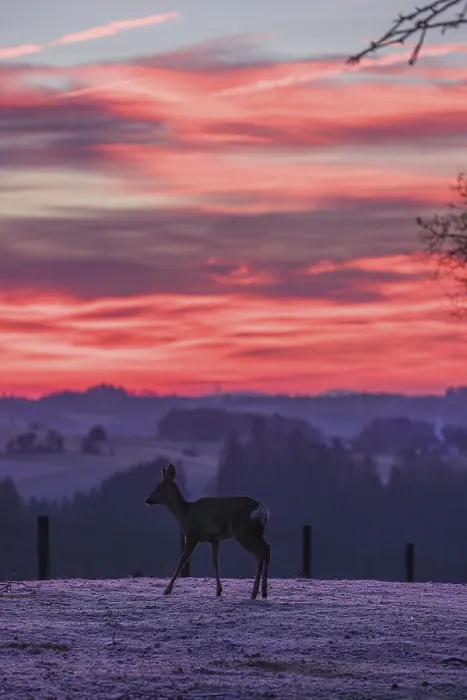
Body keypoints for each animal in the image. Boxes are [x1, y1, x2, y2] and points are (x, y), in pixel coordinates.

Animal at [145, 463, 270, 599]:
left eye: (158, 488)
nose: (147, 500)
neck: (185, 514)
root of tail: (261, 508)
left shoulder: (192, 536)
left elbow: (181, 561)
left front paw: (167, 590)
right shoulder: (214, 539)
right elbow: (215, 562)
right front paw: (218, 591)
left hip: (244, 531)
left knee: (260, 554)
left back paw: (254, 593)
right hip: (257, 532)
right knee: (267, 549)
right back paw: (263, 592)